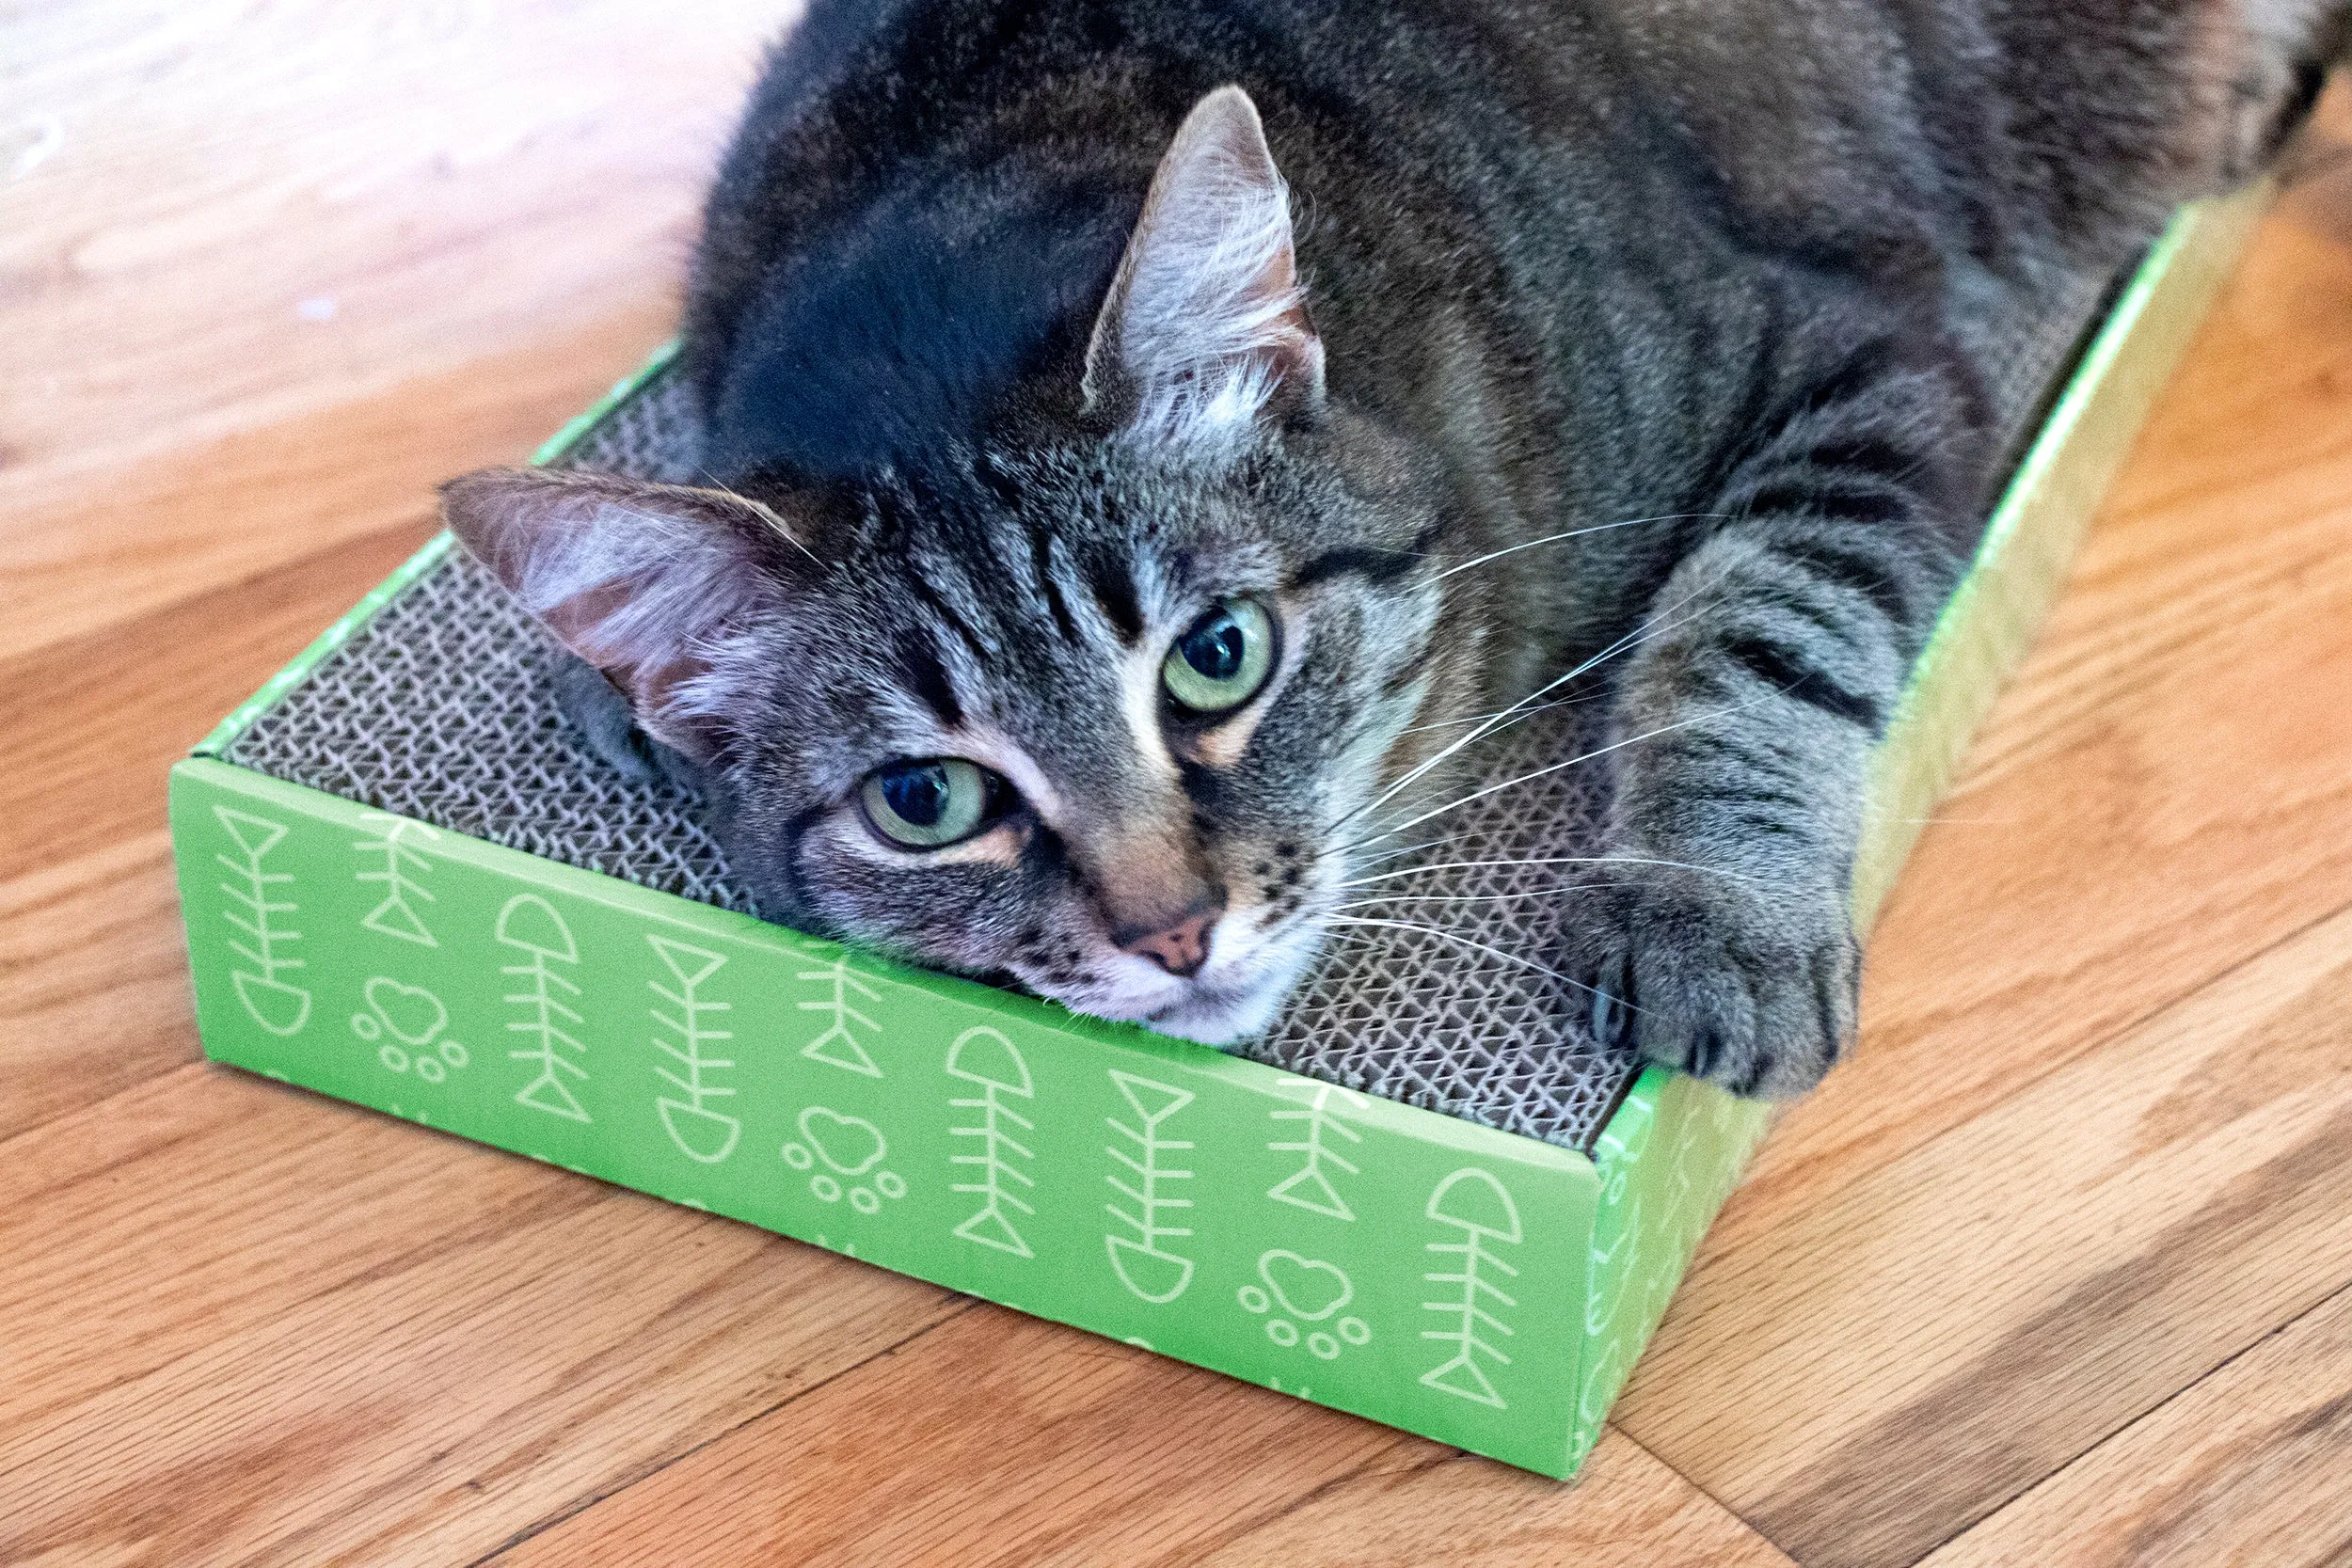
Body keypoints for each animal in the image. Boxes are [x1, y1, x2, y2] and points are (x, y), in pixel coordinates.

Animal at [437, 0, 2333, 1100]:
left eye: (1219, 659)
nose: (1176, 933)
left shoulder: (1851, 348)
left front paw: (1712, 899)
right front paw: (625, 690)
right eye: (926, 801)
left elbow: (1760, 623)